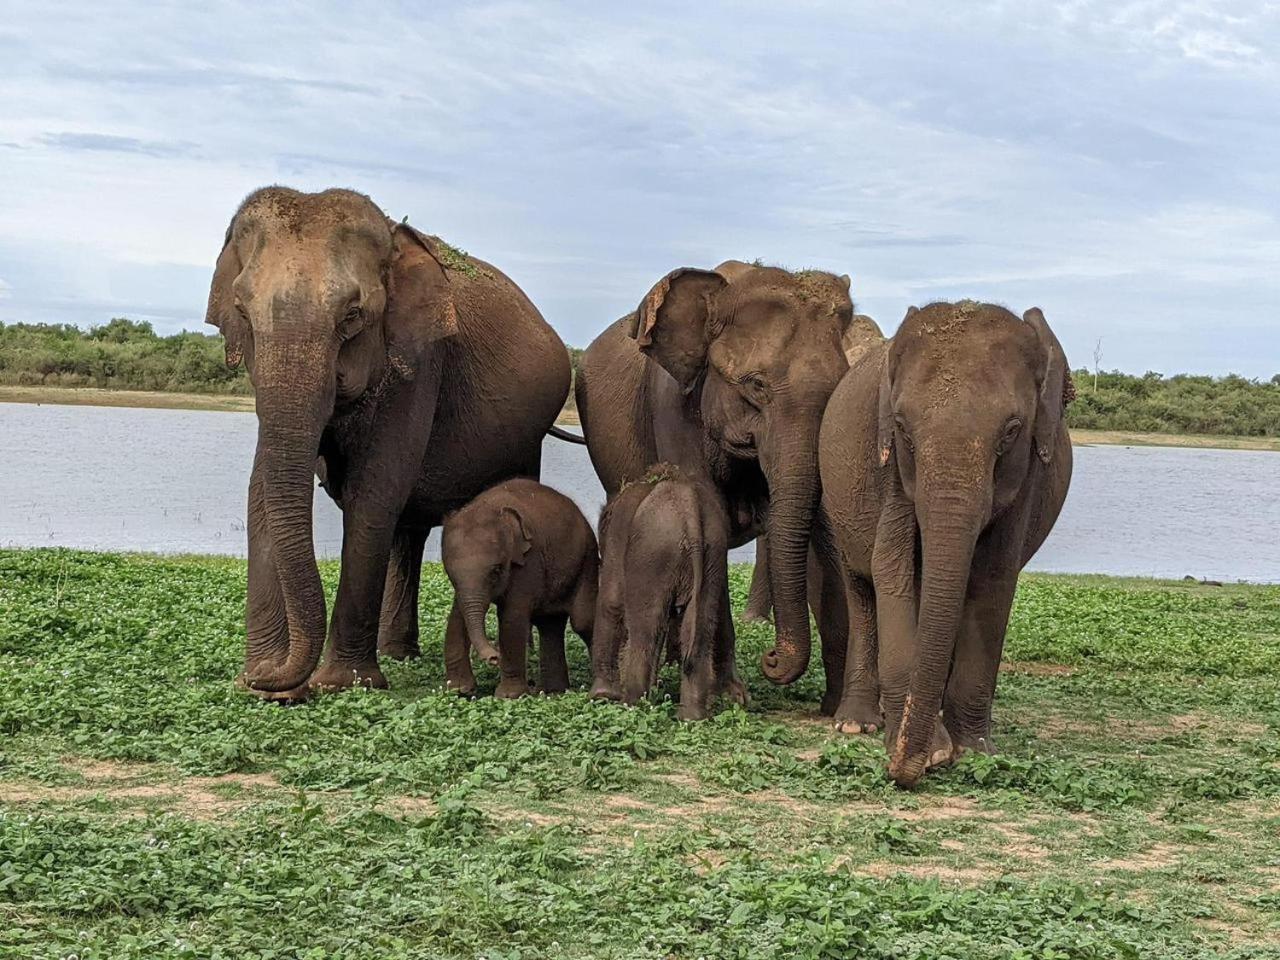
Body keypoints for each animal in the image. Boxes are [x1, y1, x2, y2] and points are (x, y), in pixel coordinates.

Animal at [203, 185, 570, 701]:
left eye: (353, 316)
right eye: (241, 313)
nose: (271, 678)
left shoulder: (419, 359)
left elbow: (374, 493)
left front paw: (340, 684)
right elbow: (260, 492)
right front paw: (265, 685)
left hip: (528, 434)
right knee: (408, 531)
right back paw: (398, 653)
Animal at [440, 478, 599, 701]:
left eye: (496, 570)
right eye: (450, 573)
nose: (494, 657)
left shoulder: (528, 562)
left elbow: (512, 617)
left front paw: (508, 696)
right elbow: (456, 617)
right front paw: (459, 690)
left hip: (587, 559)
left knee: (582, 621)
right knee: (550, 624)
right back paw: (552, 691)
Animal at [588, 465, 742, 721]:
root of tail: (690, 510)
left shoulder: (618, 540)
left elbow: (612, 602)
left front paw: (601, 697)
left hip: (653, 556)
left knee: (644, 628)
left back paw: (632, 705)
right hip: (713, 554)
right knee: (699, 629)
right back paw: (691, 718)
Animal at [814, 302, 1075, 788]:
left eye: (1011, 431)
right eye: (902, 429)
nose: (897, 770)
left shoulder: (1027, 476)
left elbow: (993, 578)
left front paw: (972, 751)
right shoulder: (889, 471)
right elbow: (891, 567)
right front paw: (933, 751)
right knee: (861, 587)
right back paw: (857, 723)